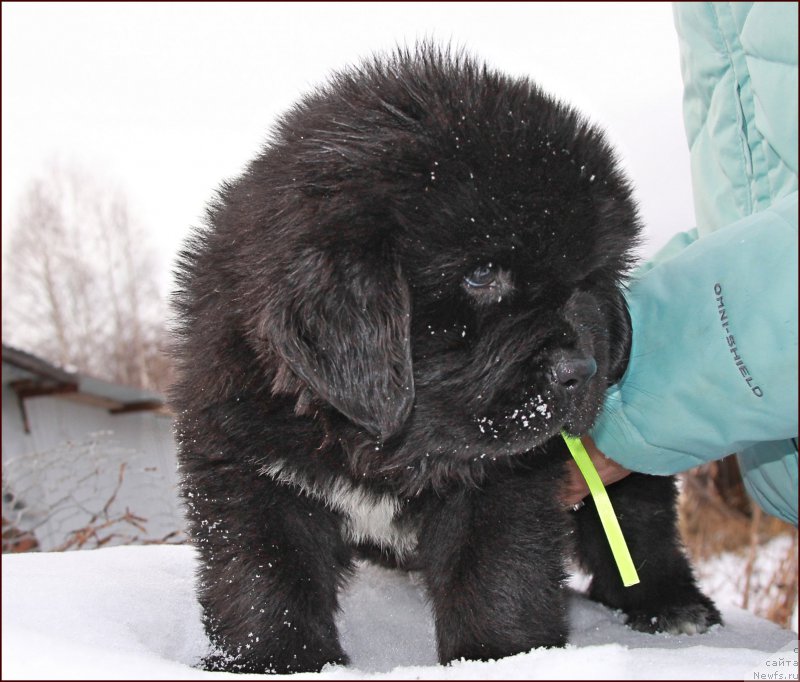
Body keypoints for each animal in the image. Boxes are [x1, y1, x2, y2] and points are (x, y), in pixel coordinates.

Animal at [172, 46, 720, 668]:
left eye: (587, 283)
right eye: (481, 275)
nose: (582, 373)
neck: (384, 449)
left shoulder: (504, 481)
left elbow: (497, 577)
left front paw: (502, 657)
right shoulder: (249, 466)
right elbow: (264, 579)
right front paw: (276, 662)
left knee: (640, 520)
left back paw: (673, 604)